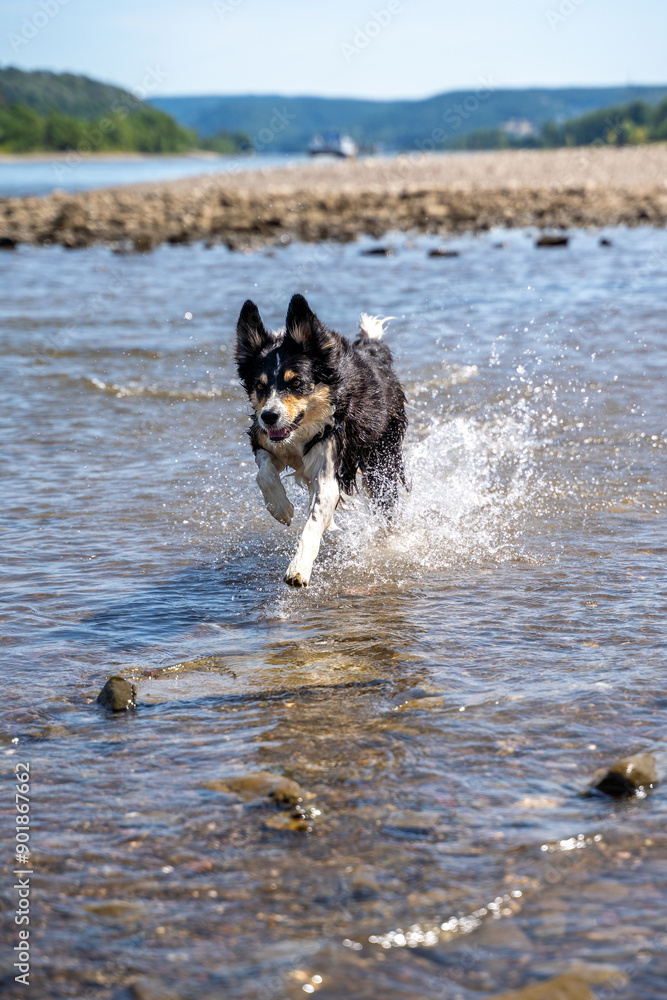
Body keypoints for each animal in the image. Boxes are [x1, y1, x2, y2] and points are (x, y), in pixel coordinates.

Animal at [235, 294, 407, 587]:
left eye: (296, 383)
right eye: (260, 386)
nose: (269, 416)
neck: (300, 430)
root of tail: (373, 355)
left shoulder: (329, 468)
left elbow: (314, 521)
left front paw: (298, 569)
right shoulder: (263, 439)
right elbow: (264, 473)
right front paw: (281, 508)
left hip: (382, 460)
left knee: (386, 504)